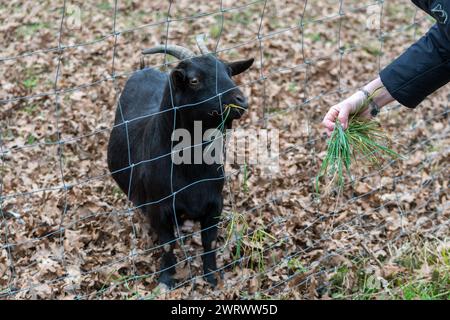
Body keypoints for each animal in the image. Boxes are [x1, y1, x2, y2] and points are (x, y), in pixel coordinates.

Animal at [106, 37, 253, 288]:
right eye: (194, 80)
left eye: (228, 72)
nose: (240, 100)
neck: (191, 169)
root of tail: (143, 69)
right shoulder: (160, 210)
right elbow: (168, 245)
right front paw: (166, 280)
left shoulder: (214, 204)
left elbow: (209, 242)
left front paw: (212, 277)